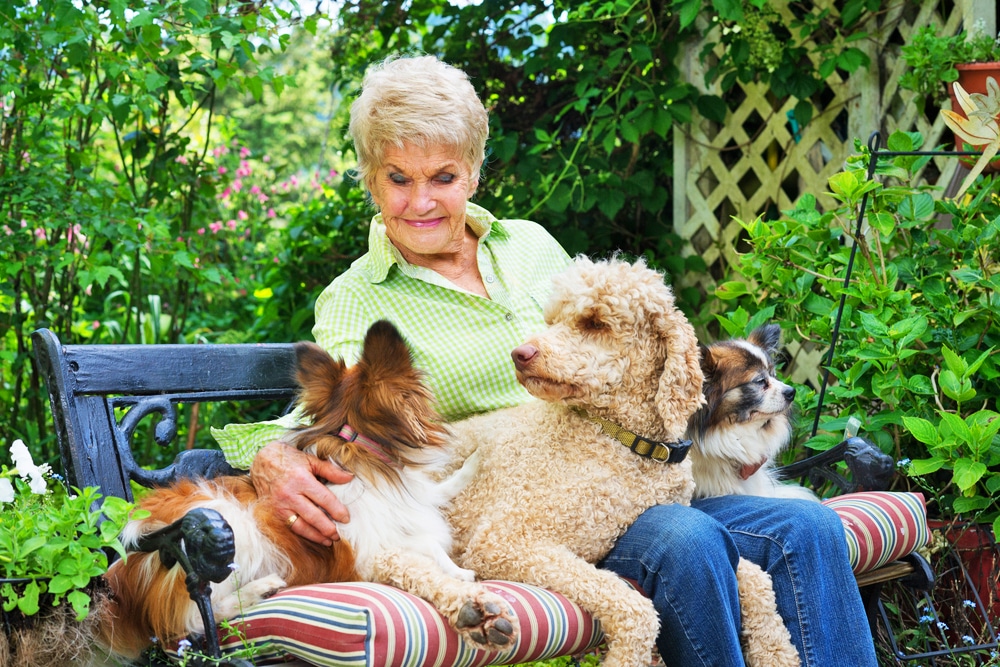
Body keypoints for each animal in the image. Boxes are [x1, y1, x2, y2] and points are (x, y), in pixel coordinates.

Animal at [99, 320, 498, 660]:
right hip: (235, 527)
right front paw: (458, 574)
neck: (358, 450)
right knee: (193, 620)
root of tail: (124, 572)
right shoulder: (369, 550)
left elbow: (438, 502)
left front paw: (474, 462)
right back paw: (261, 589)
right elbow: (424, 547)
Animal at [446, 258, 796, 667]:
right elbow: (637, 611)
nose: (521, 353)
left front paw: (778, 652)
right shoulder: (504, 540)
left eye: (595, 322)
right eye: (554, 320)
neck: (622, 441)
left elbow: (757, 579)